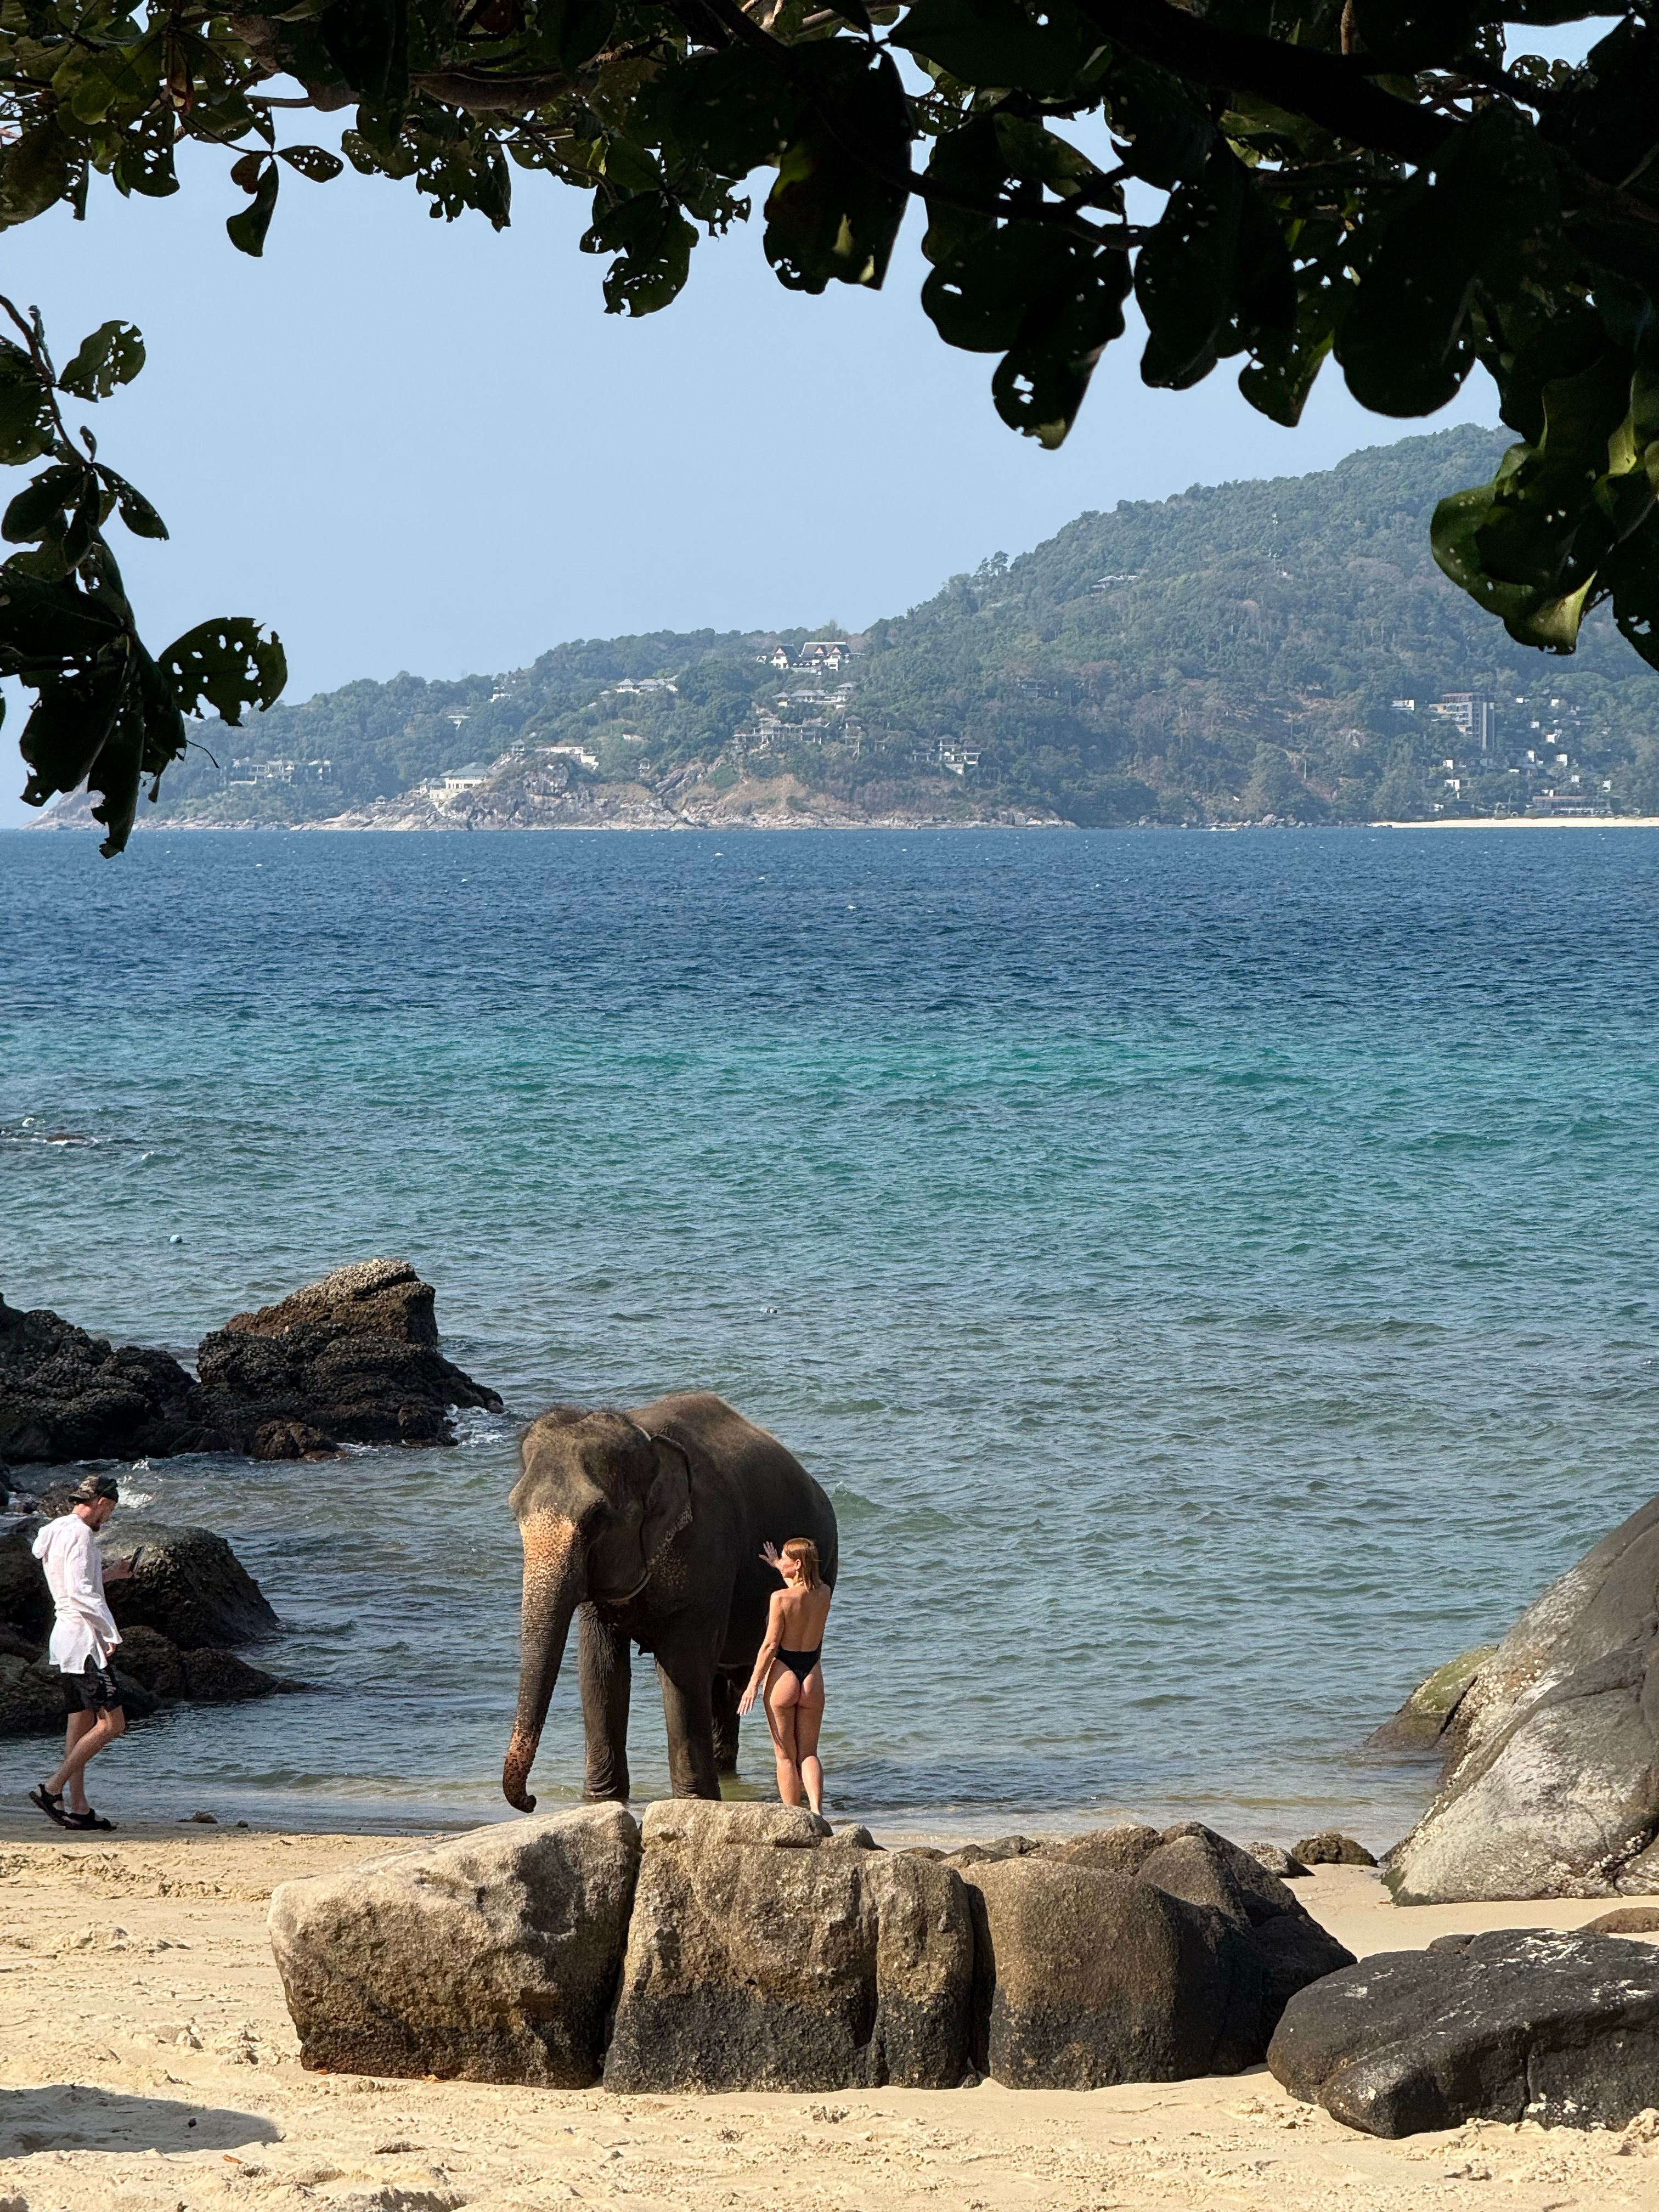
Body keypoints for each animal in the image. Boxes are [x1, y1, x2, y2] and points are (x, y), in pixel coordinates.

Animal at [504, 1389, 845, 1805]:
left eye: (597, 1517)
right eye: (515, 1509)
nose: (531, 1800)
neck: (644, 1436)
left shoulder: (706, 1551)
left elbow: (682, 1668)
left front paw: (694, 1801)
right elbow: (600, 1668)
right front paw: (603, 1800)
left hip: (828, 1561)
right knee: (725, 1683)